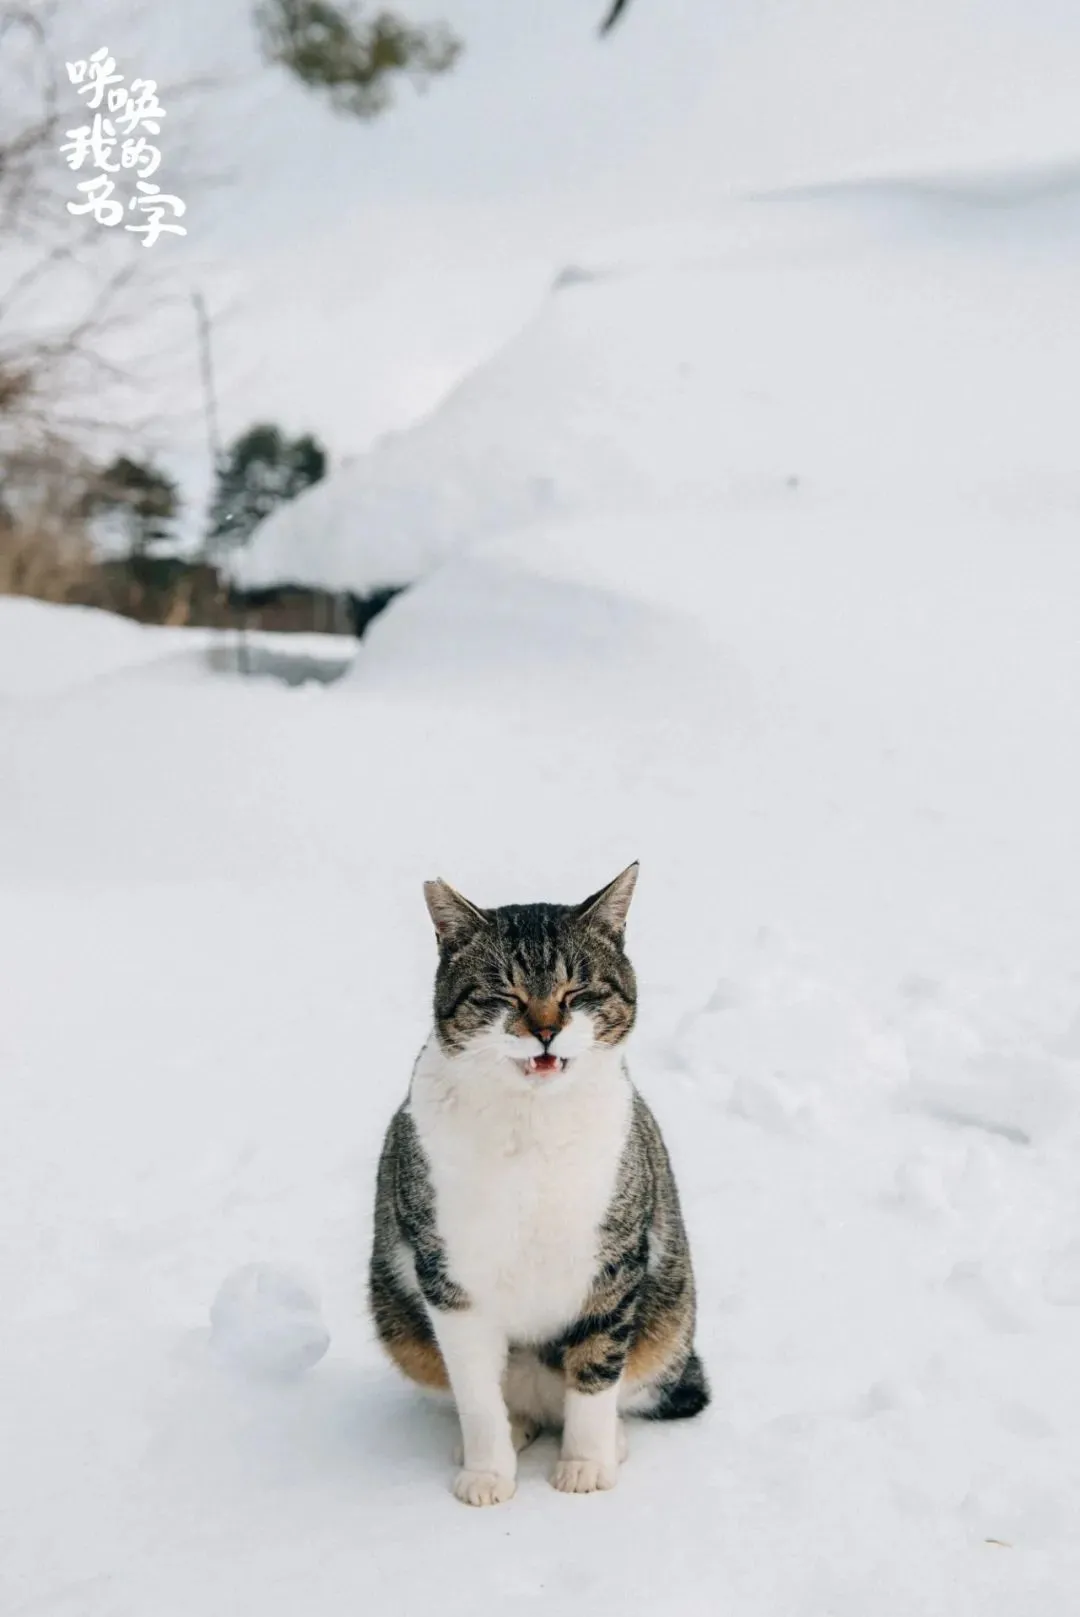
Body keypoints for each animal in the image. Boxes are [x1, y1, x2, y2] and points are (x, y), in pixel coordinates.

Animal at [371, 866, 708, 1507]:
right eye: (504, 994)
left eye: (578, 991)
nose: (547, 1031)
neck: (532, 1121)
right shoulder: (449, 1273)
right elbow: (476, 1390)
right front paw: (487, 1473)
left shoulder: (615, 1261)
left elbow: (597, 1368)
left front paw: (586, 1464)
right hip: (398, 1320)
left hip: (669, 1316)